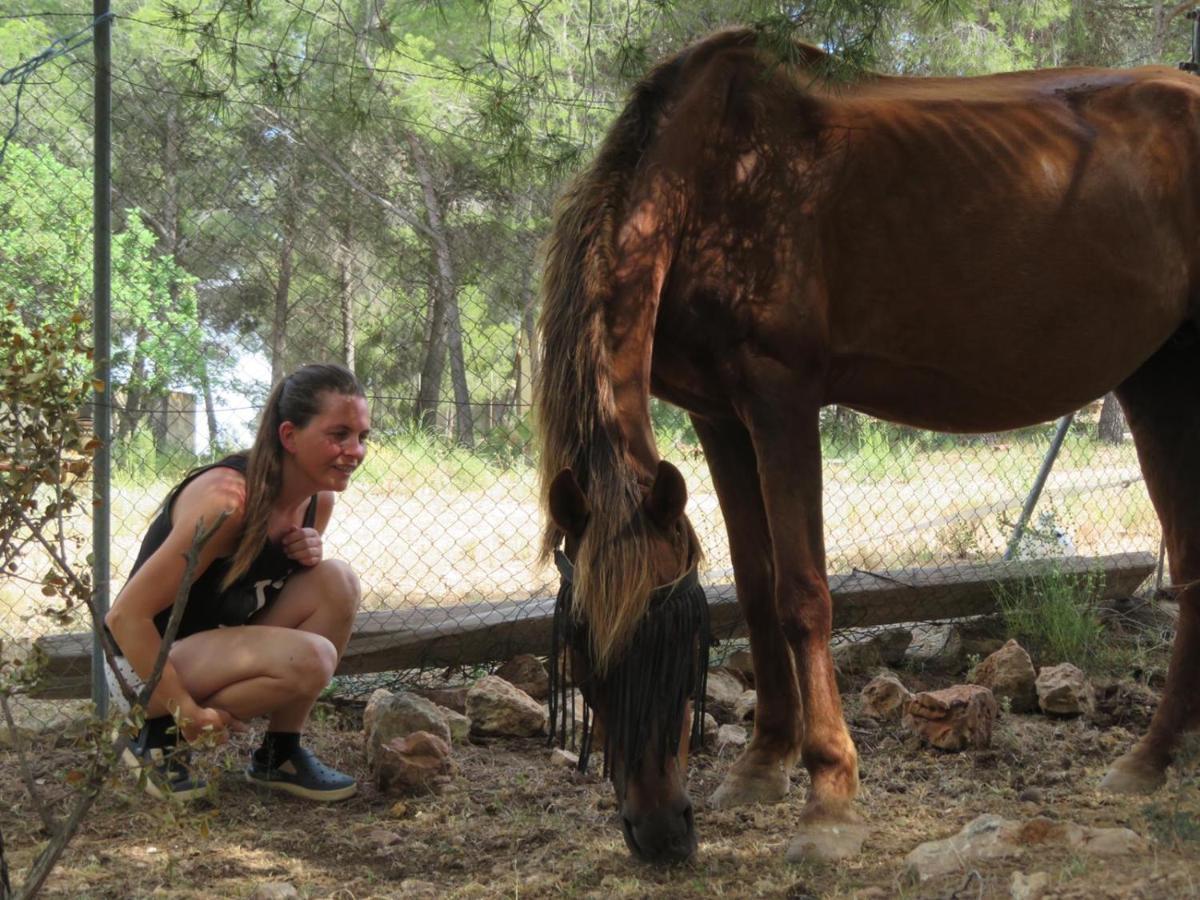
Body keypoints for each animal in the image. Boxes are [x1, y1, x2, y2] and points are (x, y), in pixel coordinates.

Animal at [535, 28, 1200, 868]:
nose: (658, 832)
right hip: (1162, 379)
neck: (713, 172)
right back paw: (1151, 760)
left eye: (679, 649)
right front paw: (762, 765)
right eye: (579, 655)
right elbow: (755, 587)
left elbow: (803, 597)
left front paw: (829, 798)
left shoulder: (780, 400)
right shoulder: (721, 416)